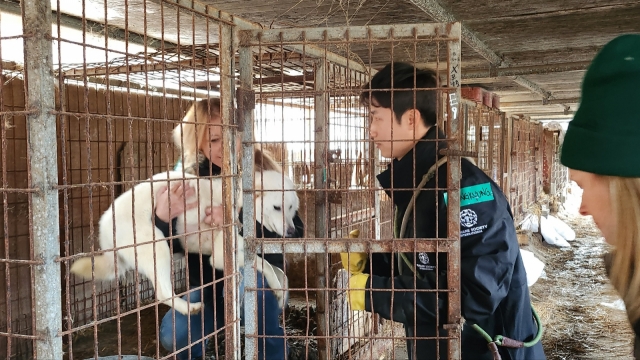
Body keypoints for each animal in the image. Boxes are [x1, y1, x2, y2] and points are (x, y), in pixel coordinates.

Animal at [70, 169, 300, 316]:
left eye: (291, 208)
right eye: (277, 207)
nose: (292, 232)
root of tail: (104, 229)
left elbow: (279, 271)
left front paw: (281, 294)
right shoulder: (220, 256)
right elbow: (265, 265)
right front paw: (277, 288)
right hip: (157, 246)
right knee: (162, 293)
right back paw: (189, 308)